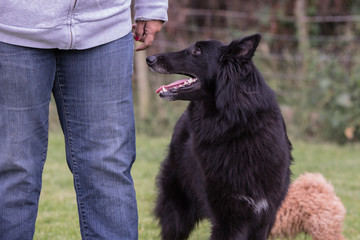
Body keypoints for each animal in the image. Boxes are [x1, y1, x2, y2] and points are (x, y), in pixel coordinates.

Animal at [146, 34, 292, 240]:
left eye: (197, 51)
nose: (149, 59)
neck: (236, 126)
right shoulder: (228, 218)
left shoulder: (263, 217)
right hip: (176, 211)